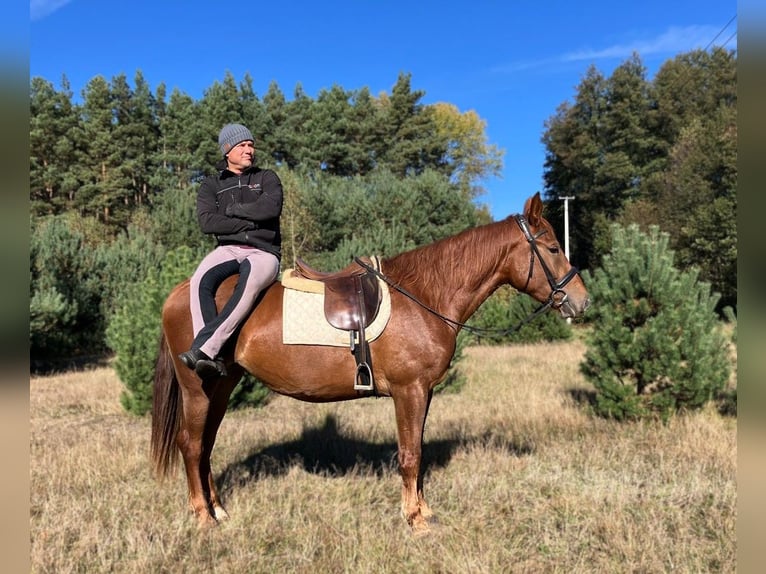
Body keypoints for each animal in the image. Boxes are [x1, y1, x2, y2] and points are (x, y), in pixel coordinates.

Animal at [150, 192, 590, 535]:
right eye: (553, 248)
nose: (581, 301)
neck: (423, 295)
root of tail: (179, 292)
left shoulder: (424, 393)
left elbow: (418, 451)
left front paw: (423, 510)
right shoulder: (409, 391)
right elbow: (409, 455)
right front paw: (415, 519)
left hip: (221, 386)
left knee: (206, 445)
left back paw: (218, 509)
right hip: (196, 387)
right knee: (191, 444)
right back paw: (203, 517)